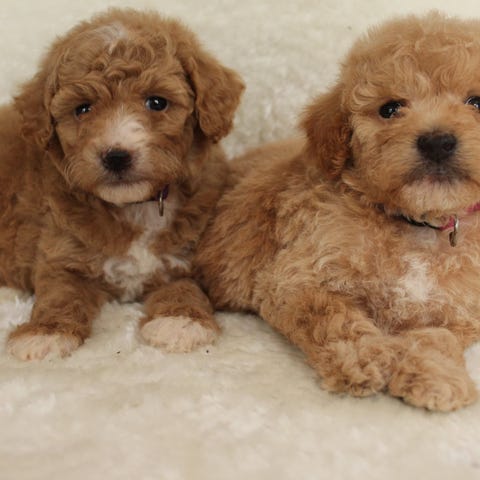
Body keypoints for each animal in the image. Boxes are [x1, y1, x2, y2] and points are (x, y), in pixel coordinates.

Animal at [0, 8, 244, 360]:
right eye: (82, 108)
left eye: (157, 102)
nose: (116, 156)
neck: (135, 206)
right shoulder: (60, 255)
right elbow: (60, 293)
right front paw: (45, 333)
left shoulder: (186, 257)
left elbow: (185, 287)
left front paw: (181, 321)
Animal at [196, 12, 480, 411]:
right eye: (390, 109)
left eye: (476, 102)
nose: (437, 141)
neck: (416, 224)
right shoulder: (298, 280)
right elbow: (335, 319)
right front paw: (364, 359)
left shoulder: (459, 310)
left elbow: (438, 338)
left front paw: (436, 377)